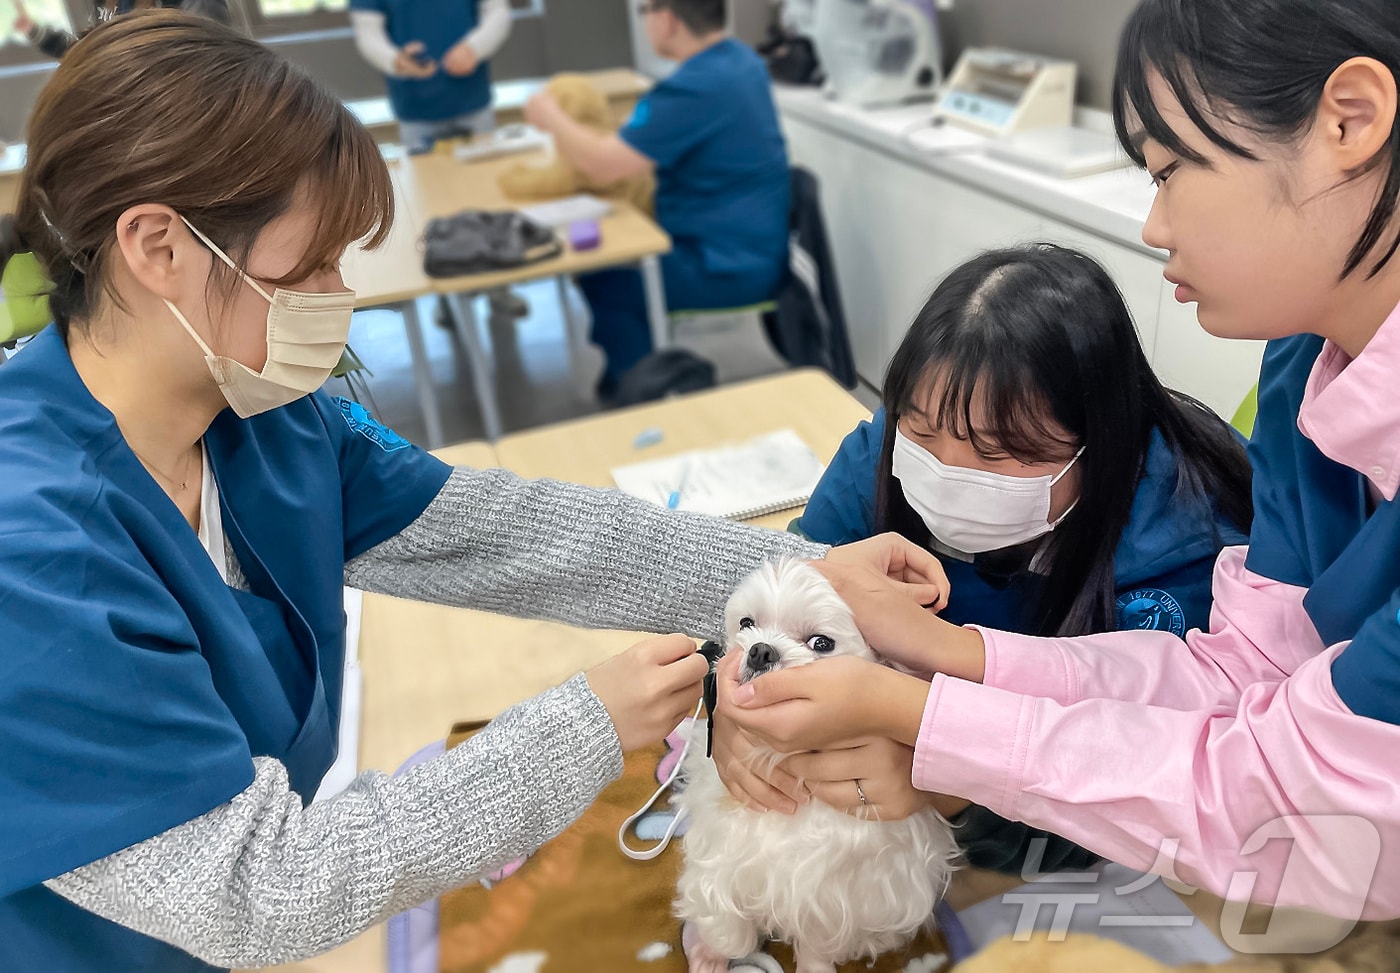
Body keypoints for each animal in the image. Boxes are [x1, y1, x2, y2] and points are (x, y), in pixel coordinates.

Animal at [669, 554, 957, 973]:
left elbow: (816, 939)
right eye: (747, 623)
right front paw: (717, 947)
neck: (783, 759)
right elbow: (723, 913)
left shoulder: (837, 893)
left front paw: (812, 964)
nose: (760, 651)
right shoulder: (721, 846)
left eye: (821, 643)